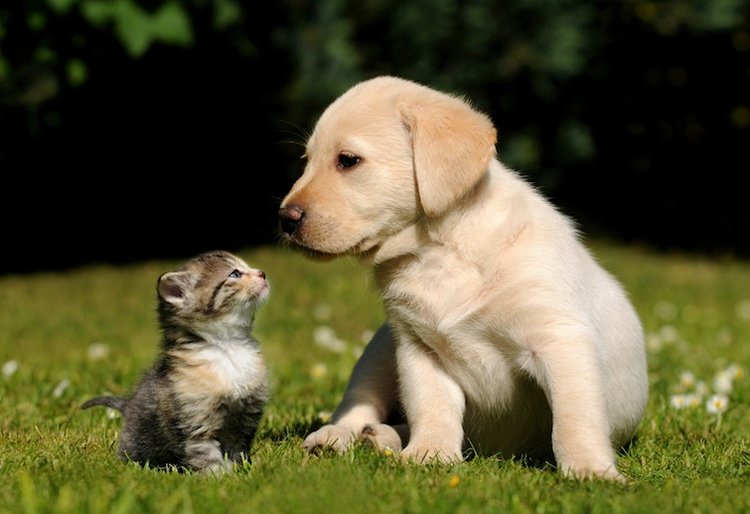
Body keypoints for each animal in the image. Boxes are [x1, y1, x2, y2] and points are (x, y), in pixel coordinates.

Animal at [83, 248, 270, 472]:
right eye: (235, 274)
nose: (262, 273)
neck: (228, 347)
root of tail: (128, 405)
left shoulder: (245, 418)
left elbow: (237, 450)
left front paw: (241, 472)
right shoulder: (196, 423)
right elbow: (206, 455)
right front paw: (219, 476)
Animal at [280, 76, 648, 480]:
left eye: (348, 160)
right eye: (306, 162)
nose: (284, 218)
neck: (439, 252)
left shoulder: (559, 339)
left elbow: (574, 418)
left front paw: (590, 471)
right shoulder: (418, 347)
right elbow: (432, 407)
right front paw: (429, 454)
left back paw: (380, 438)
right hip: (379, 350)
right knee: (359, 404)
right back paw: (342, 437)